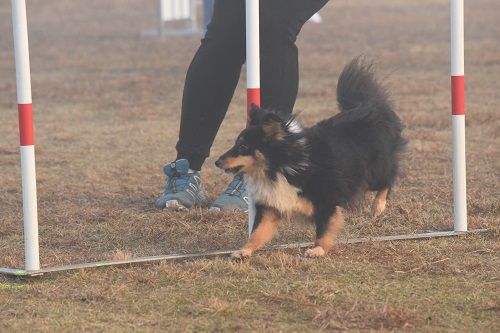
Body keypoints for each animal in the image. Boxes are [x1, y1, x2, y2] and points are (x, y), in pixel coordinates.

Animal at [215, 58, 406, 258]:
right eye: (236, 144)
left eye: (243, 147)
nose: (216, 162)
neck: (280, 167)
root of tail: (370, 105)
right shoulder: (272, 206)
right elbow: (258, 232)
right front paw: (243, 251)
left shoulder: (326, 201)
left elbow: (324, 228)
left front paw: (317, 250)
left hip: (373, 172)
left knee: (388, 179)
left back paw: (378, 206)